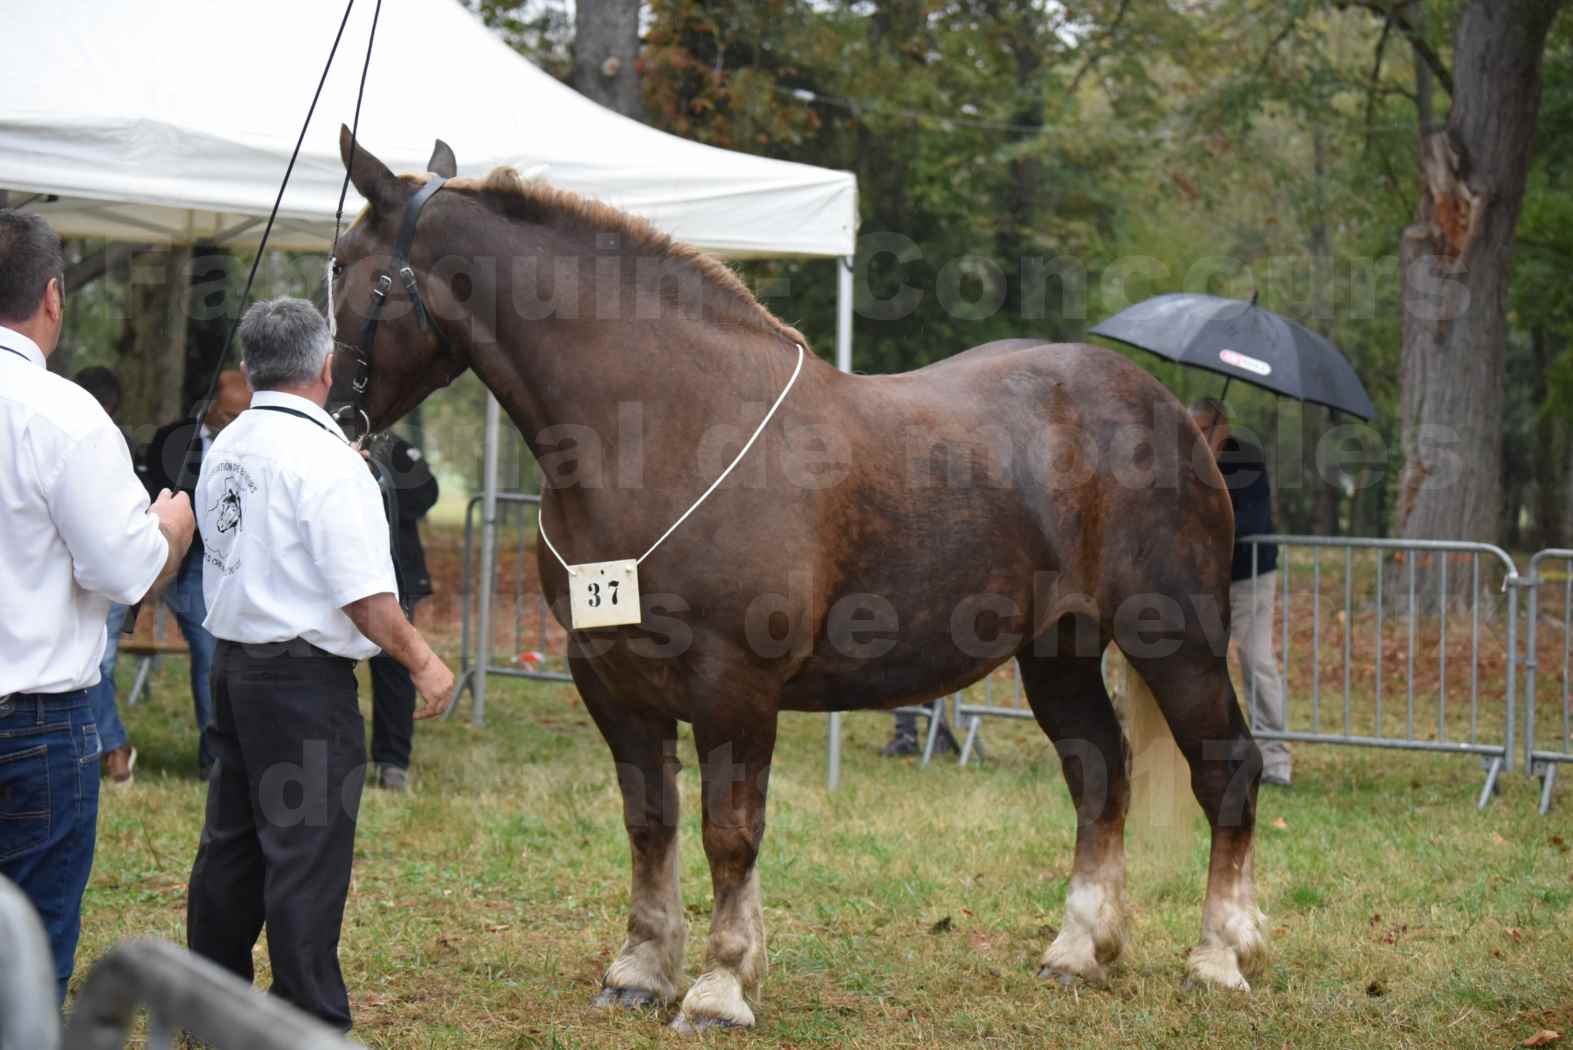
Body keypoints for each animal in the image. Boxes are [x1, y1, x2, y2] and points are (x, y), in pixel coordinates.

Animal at [331, 127, 1264, 1031]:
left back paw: (1220, 956)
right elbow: (649, 824)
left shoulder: (734, 685)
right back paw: (1076, 951)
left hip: (1174, 638)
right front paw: (640, 973)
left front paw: (718, 988)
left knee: (1226, 770)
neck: (668, 426)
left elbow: (729, 833)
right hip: (1057, 653)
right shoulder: (610, 680)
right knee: (1097, 773)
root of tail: (1176, 414)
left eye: (348, 269)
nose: (339, 414)